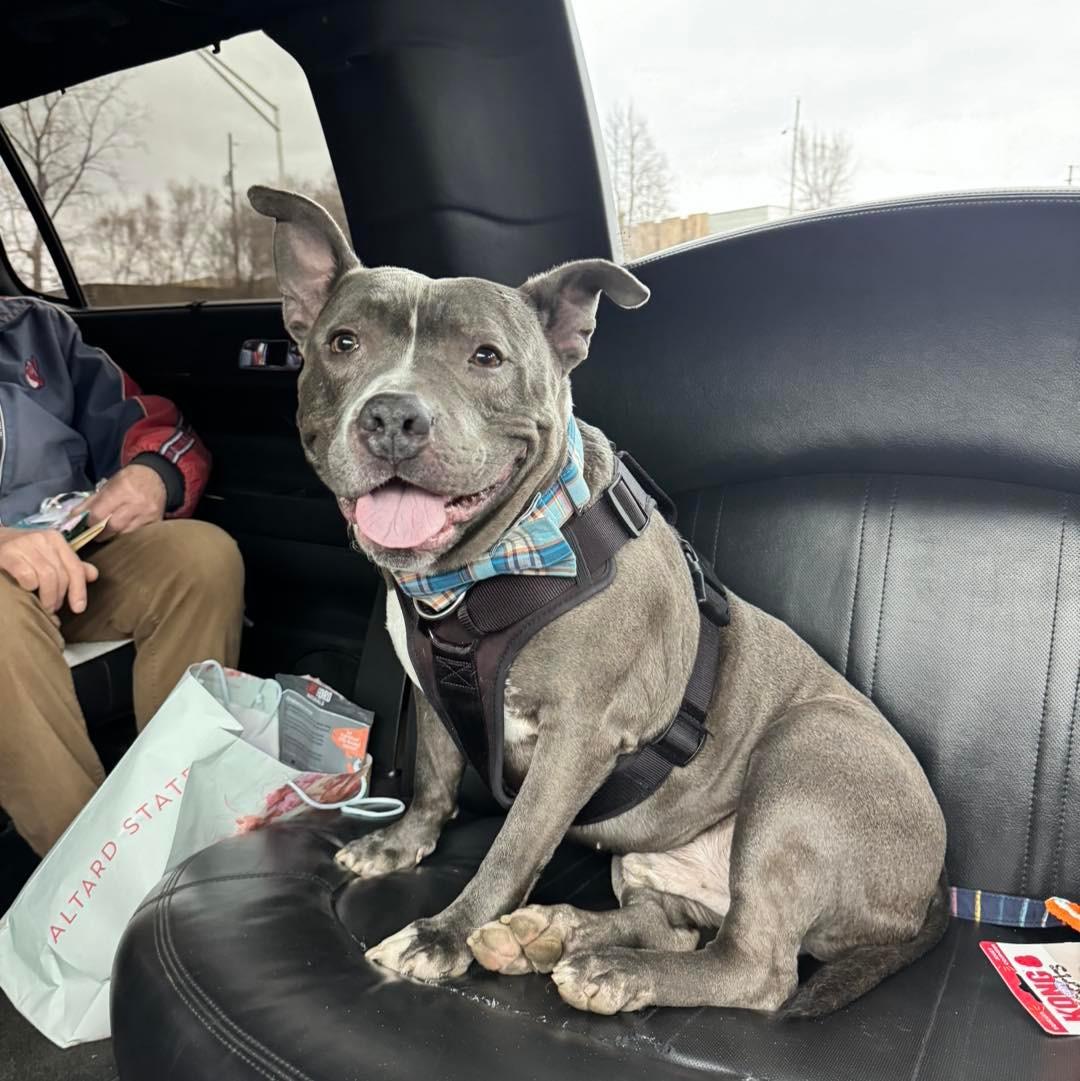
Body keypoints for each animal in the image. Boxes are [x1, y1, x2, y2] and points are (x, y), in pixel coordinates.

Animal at [250, 181, 947, 1016]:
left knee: (757, 966)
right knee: (671, 925)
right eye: (343, 342)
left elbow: (515, 841)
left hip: (805, 761)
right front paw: (401, 845)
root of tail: (931, 894)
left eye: (487, 356)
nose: (392, 415)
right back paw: (553, 934)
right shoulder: (437, 701)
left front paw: (443, 934)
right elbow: (434, 780)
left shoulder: (579, 732)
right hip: (650, 858)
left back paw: (609, 967)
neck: (475, 575)